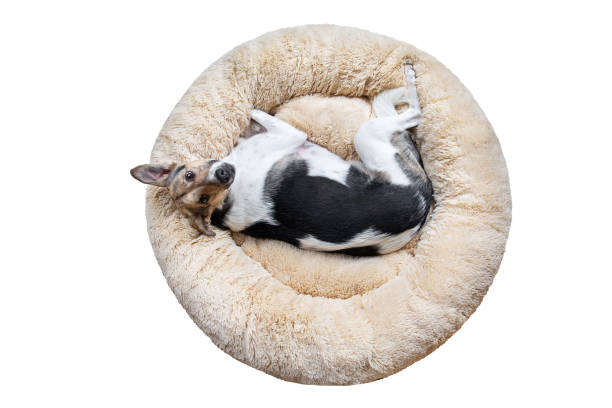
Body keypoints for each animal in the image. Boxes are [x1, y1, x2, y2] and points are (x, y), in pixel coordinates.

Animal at [131, 66, 432, 255]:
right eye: (204, 198)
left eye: (189, 175)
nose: (225, 174)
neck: (226, 203)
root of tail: (423, 205)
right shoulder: (291, 134)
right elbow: (254, 110)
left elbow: (252, 115)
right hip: (369, 138)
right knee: (413, 112)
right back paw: (410, 79)